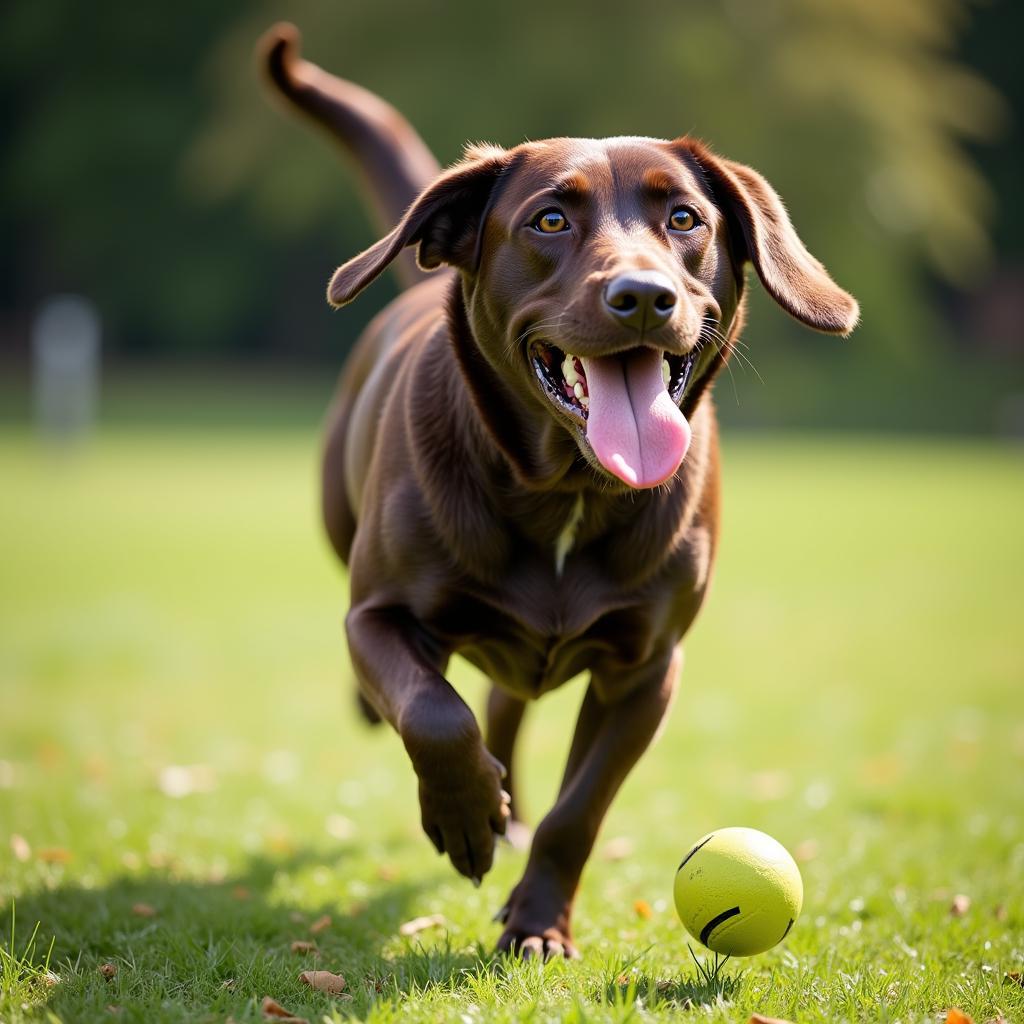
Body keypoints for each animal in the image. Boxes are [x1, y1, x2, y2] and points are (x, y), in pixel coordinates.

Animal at [262, 28, 856, 962]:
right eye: (550, 219)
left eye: (684, 219)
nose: (642, 296)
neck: (570, 491)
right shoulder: (378, 619)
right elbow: (433, 712)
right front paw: (465, 818)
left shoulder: (646, 670)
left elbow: (579, 809)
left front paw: (537, 920)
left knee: (507, 701)